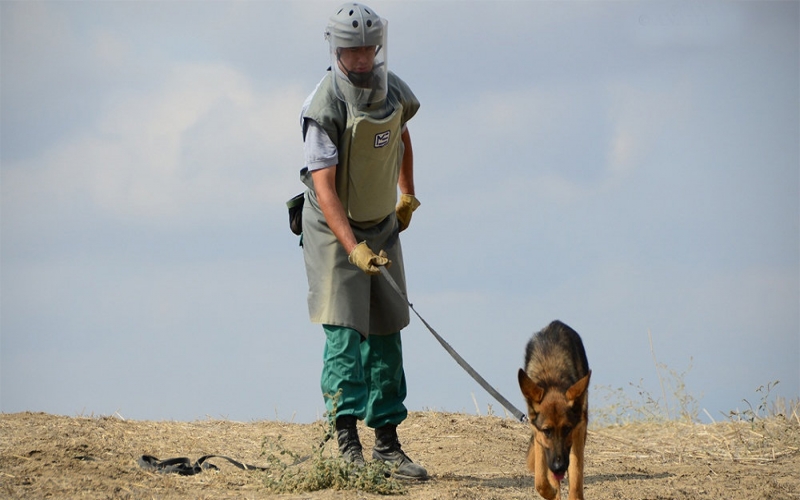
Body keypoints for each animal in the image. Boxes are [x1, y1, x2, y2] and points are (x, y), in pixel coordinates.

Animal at [516, 320, 592, 500]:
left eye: (567, 429)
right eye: (547, 431)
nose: (559, 467)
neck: (552, 378)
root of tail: (556, 323)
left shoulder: (578, 429)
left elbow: (576, 479)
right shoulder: (539, 436)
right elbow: (541, 481)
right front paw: (551, 491)